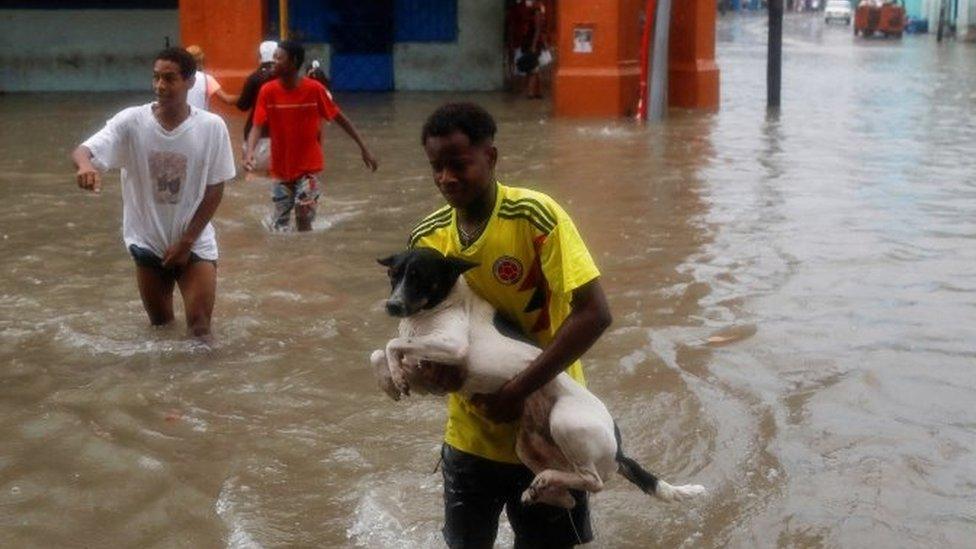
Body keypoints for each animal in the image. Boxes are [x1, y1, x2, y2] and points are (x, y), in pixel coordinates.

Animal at [370, 246, 704, 508]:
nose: (392, 306)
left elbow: (392, 344)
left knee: (594, 482)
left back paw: (547, 481)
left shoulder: (453, 347)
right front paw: (391, 381)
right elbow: (378, 353)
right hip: (528, 445)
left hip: (566, 421)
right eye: (393, 275)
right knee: (570, 494)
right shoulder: (430, 379)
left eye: (420, 276)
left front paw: (394, 374)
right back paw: (543, 489)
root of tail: (619, 450)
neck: (436, 307)